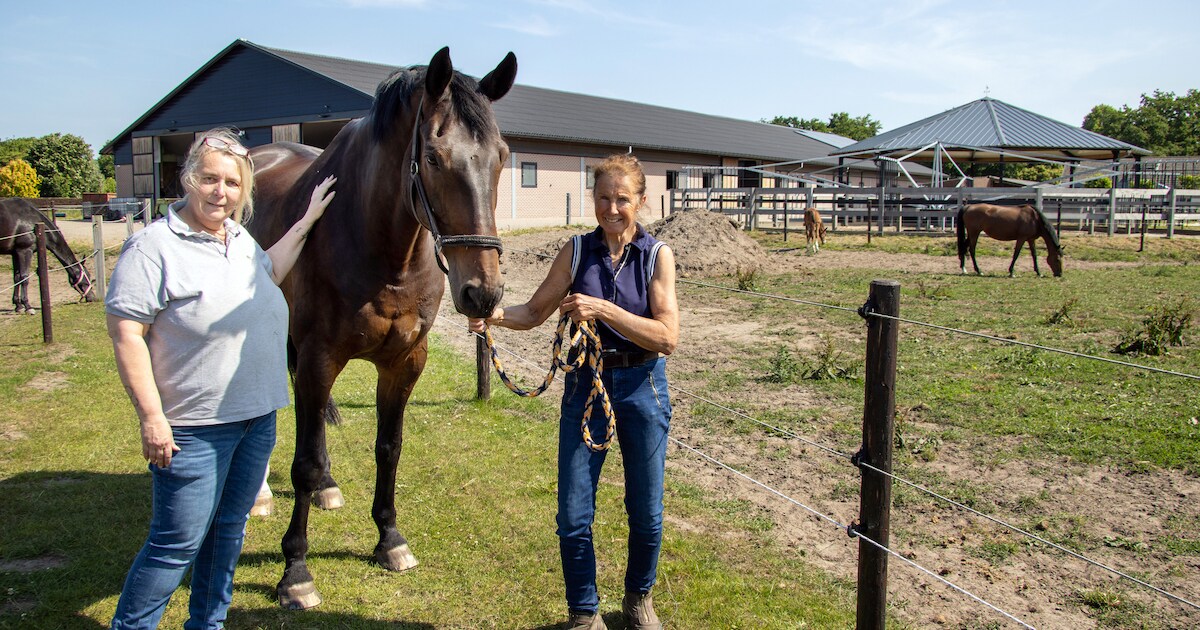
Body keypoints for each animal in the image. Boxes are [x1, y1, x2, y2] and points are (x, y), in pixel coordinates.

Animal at [245, 46, 516, 610]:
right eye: (433, 158)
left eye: (501, 157)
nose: (482, 293)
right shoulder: (319, 356)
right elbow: (302, 461)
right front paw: (295, 571)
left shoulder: (405, 361)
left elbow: (388, 448)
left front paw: (389, 538)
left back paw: (328, 486)